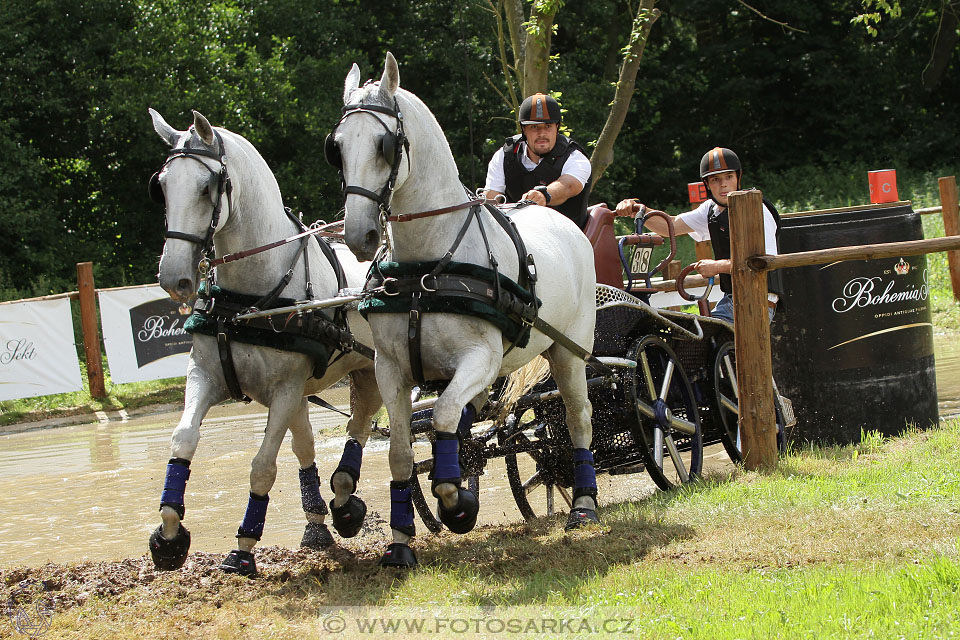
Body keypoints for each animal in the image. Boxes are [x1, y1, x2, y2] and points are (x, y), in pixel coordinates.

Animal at [146, 107, 378, 576]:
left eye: (206, 187)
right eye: (161, 187)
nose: (174, 277)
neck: (248, 301)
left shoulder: (284, 390)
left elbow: (262, 468)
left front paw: (243, 546)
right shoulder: (206, 375)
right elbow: (183, 439)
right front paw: (169, 533)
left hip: (375, 371)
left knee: (367, 426)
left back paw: (346, 503)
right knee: (328, 437)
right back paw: (324, 518)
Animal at [332, 53, 600, 564]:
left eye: (383, 144)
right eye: (336, 146)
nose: (359, 235)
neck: (426, 265)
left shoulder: (481, 359)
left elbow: (440, 418)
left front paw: (457, 502)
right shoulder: (391, 368)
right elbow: (401, 451)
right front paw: (400, 543)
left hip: (570, 354)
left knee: (578, 418)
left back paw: (584, 504)